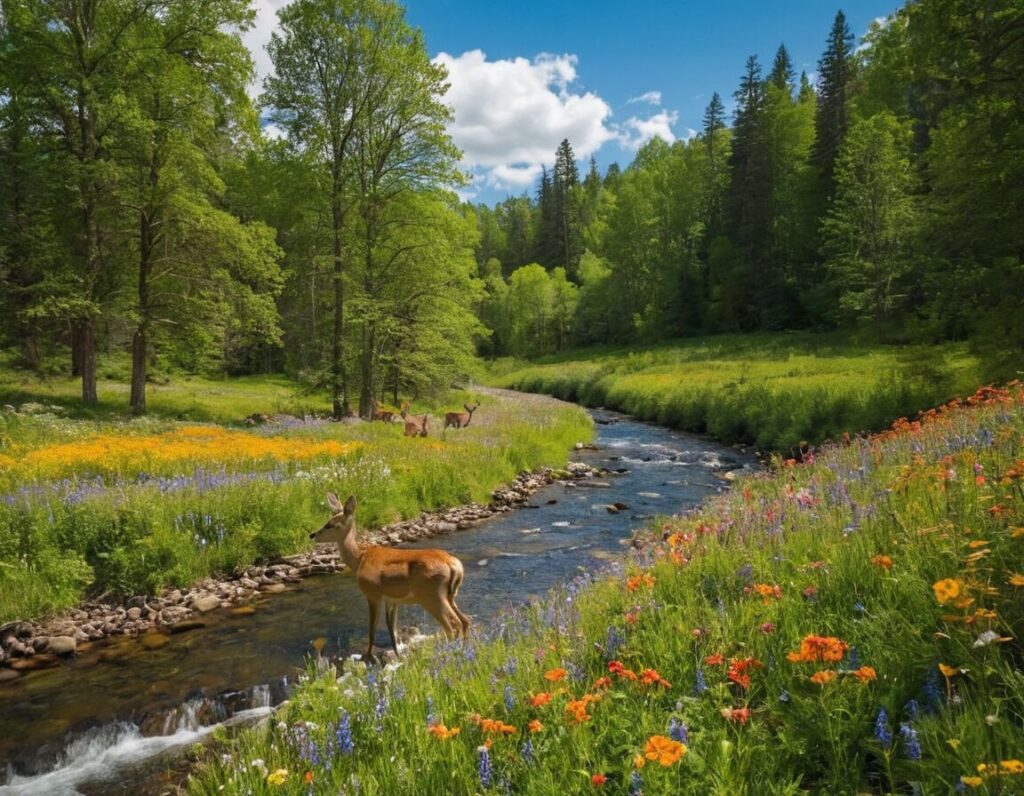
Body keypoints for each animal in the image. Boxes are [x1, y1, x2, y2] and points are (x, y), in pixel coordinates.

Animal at [307, 495, 471, 659]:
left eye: (331, 524)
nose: (312, 535)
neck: (359, 560)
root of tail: (454, 565)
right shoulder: (392, 600)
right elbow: (392, 629)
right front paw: (398, 655)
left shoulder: (372, 593)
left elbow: (372, 630)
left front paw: (367, 656)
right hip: (450, 595)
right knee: (465, 621)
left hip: (431, 596)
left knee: (453, 626)